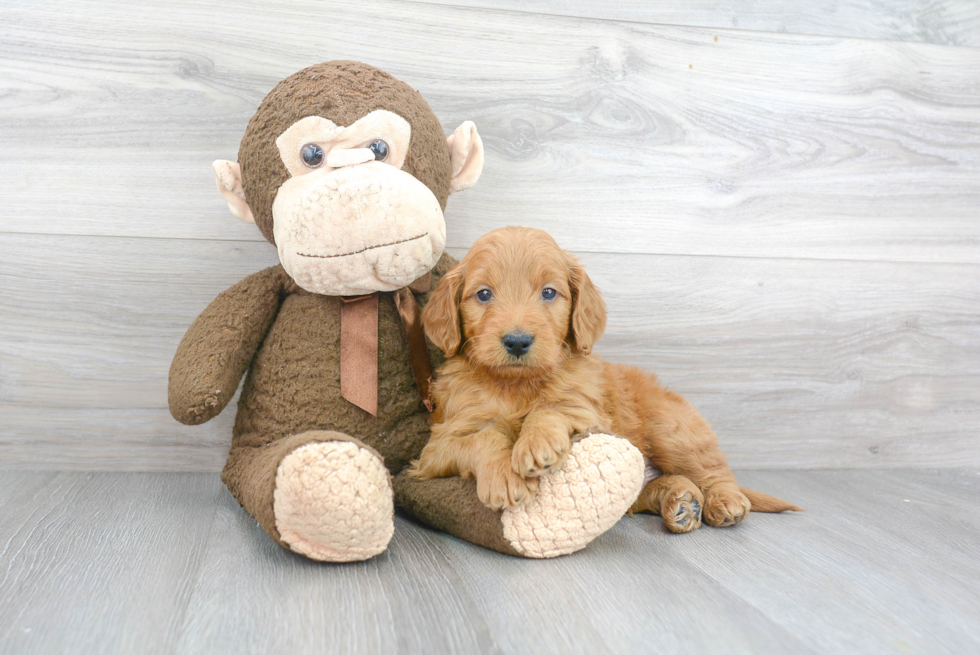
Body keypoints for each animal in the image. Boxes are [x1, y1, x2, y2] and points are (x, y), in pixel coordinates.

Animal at [410, 226, 800, 532]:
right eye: (483, 294)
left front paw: (537, 443)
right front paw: (504, 477)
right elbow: (484, 436)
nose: (517, 341)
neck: (517, 385)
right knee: (648, 491)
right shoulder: (437, 448)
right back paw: (681, 502)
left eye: (548, 292)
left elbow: (551, 408)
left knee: (713, 469)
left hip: (671, 430)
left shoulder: (591, 414)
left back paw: (724, 501)